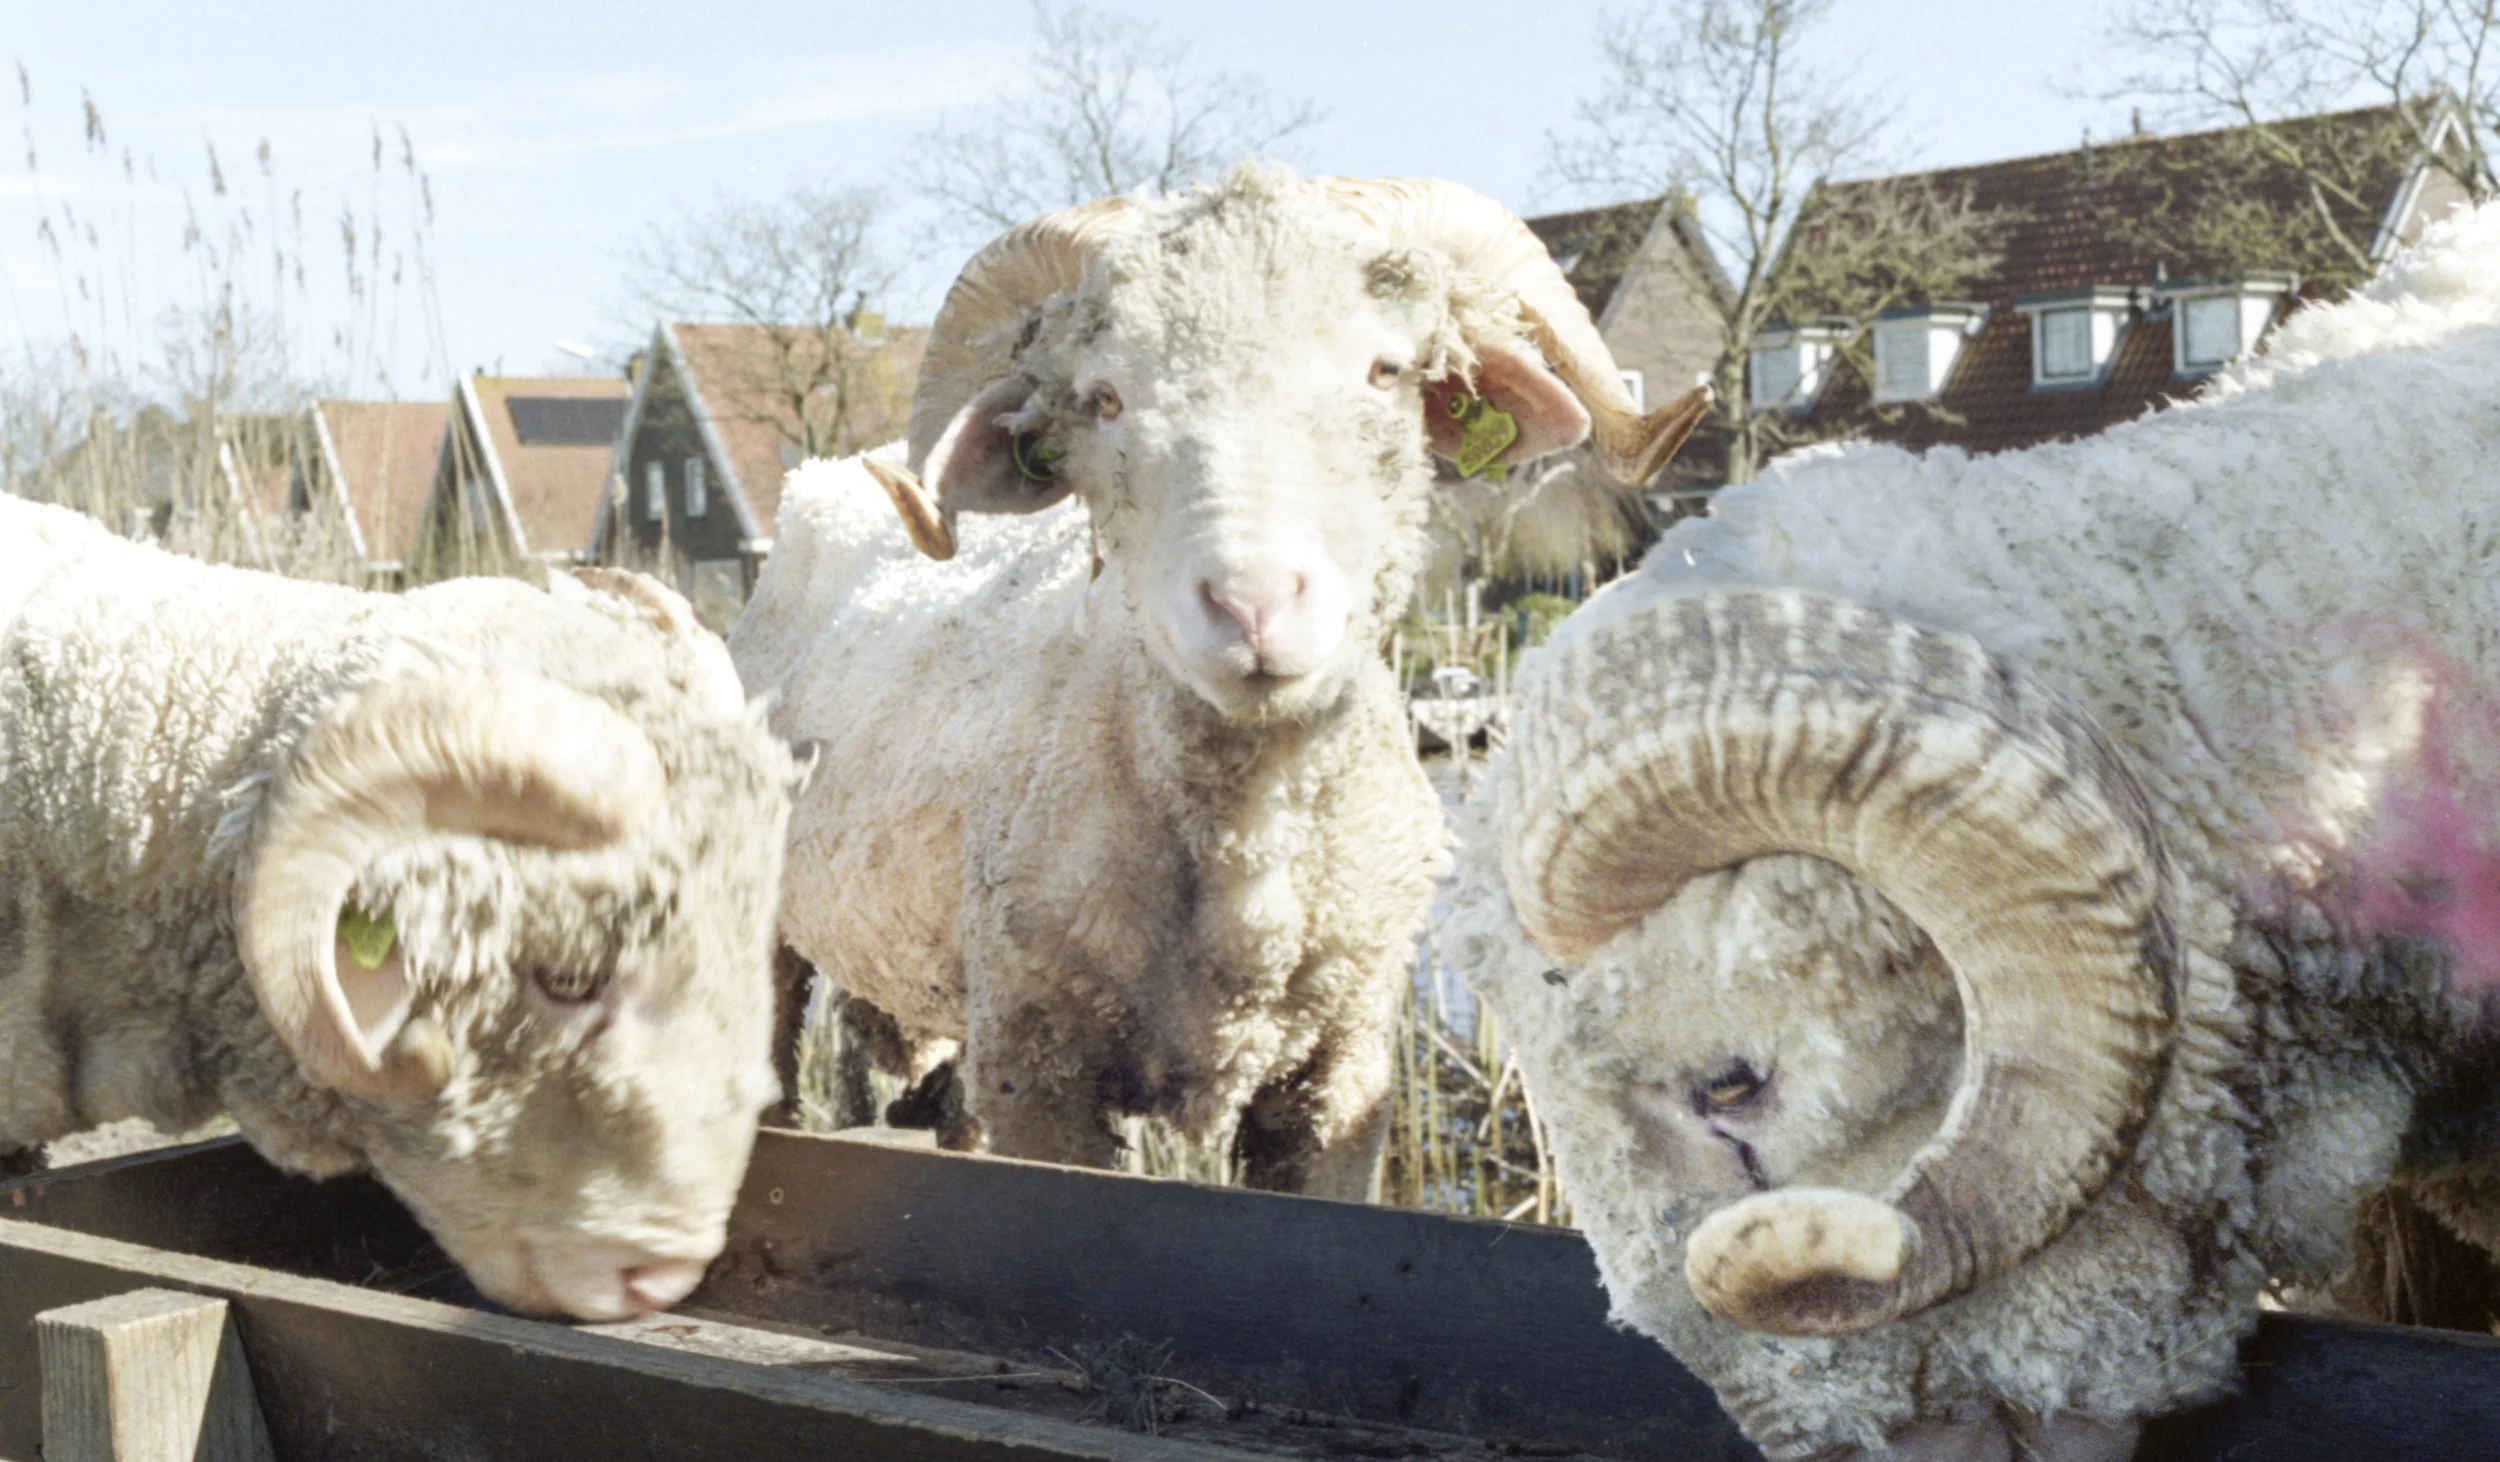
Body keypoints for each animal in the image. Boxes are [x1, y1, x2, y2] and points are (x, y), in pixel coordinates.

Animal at [728, 163, 1708, 1194]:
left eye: (1385, 370)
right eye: (1103, 398)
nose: (1253, 604)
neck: (1247, 848)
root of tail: (835, 470)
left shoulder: (1342, 1079)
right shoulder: (1043, 1072)